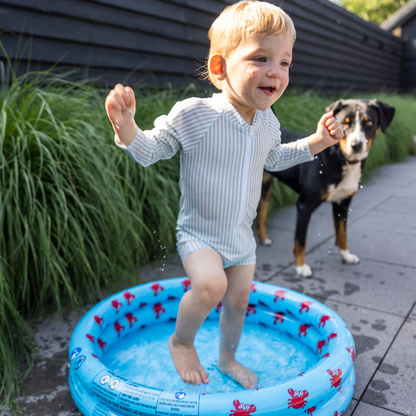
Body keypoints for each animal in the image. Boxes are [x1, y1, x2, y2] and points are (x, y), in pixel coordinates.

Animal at [256, 98, 396, 276]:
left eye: (369, 122)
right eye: (345, 123)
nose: (356, 145)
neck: (342, 160)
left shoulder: (342, 204)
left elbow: (342, 234)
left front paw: (346, 256)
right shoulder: (304, 205)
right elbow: (300, 240)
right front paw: (301, 267)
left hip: (267, 188)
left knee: (261, 214)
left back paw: (264, 238)